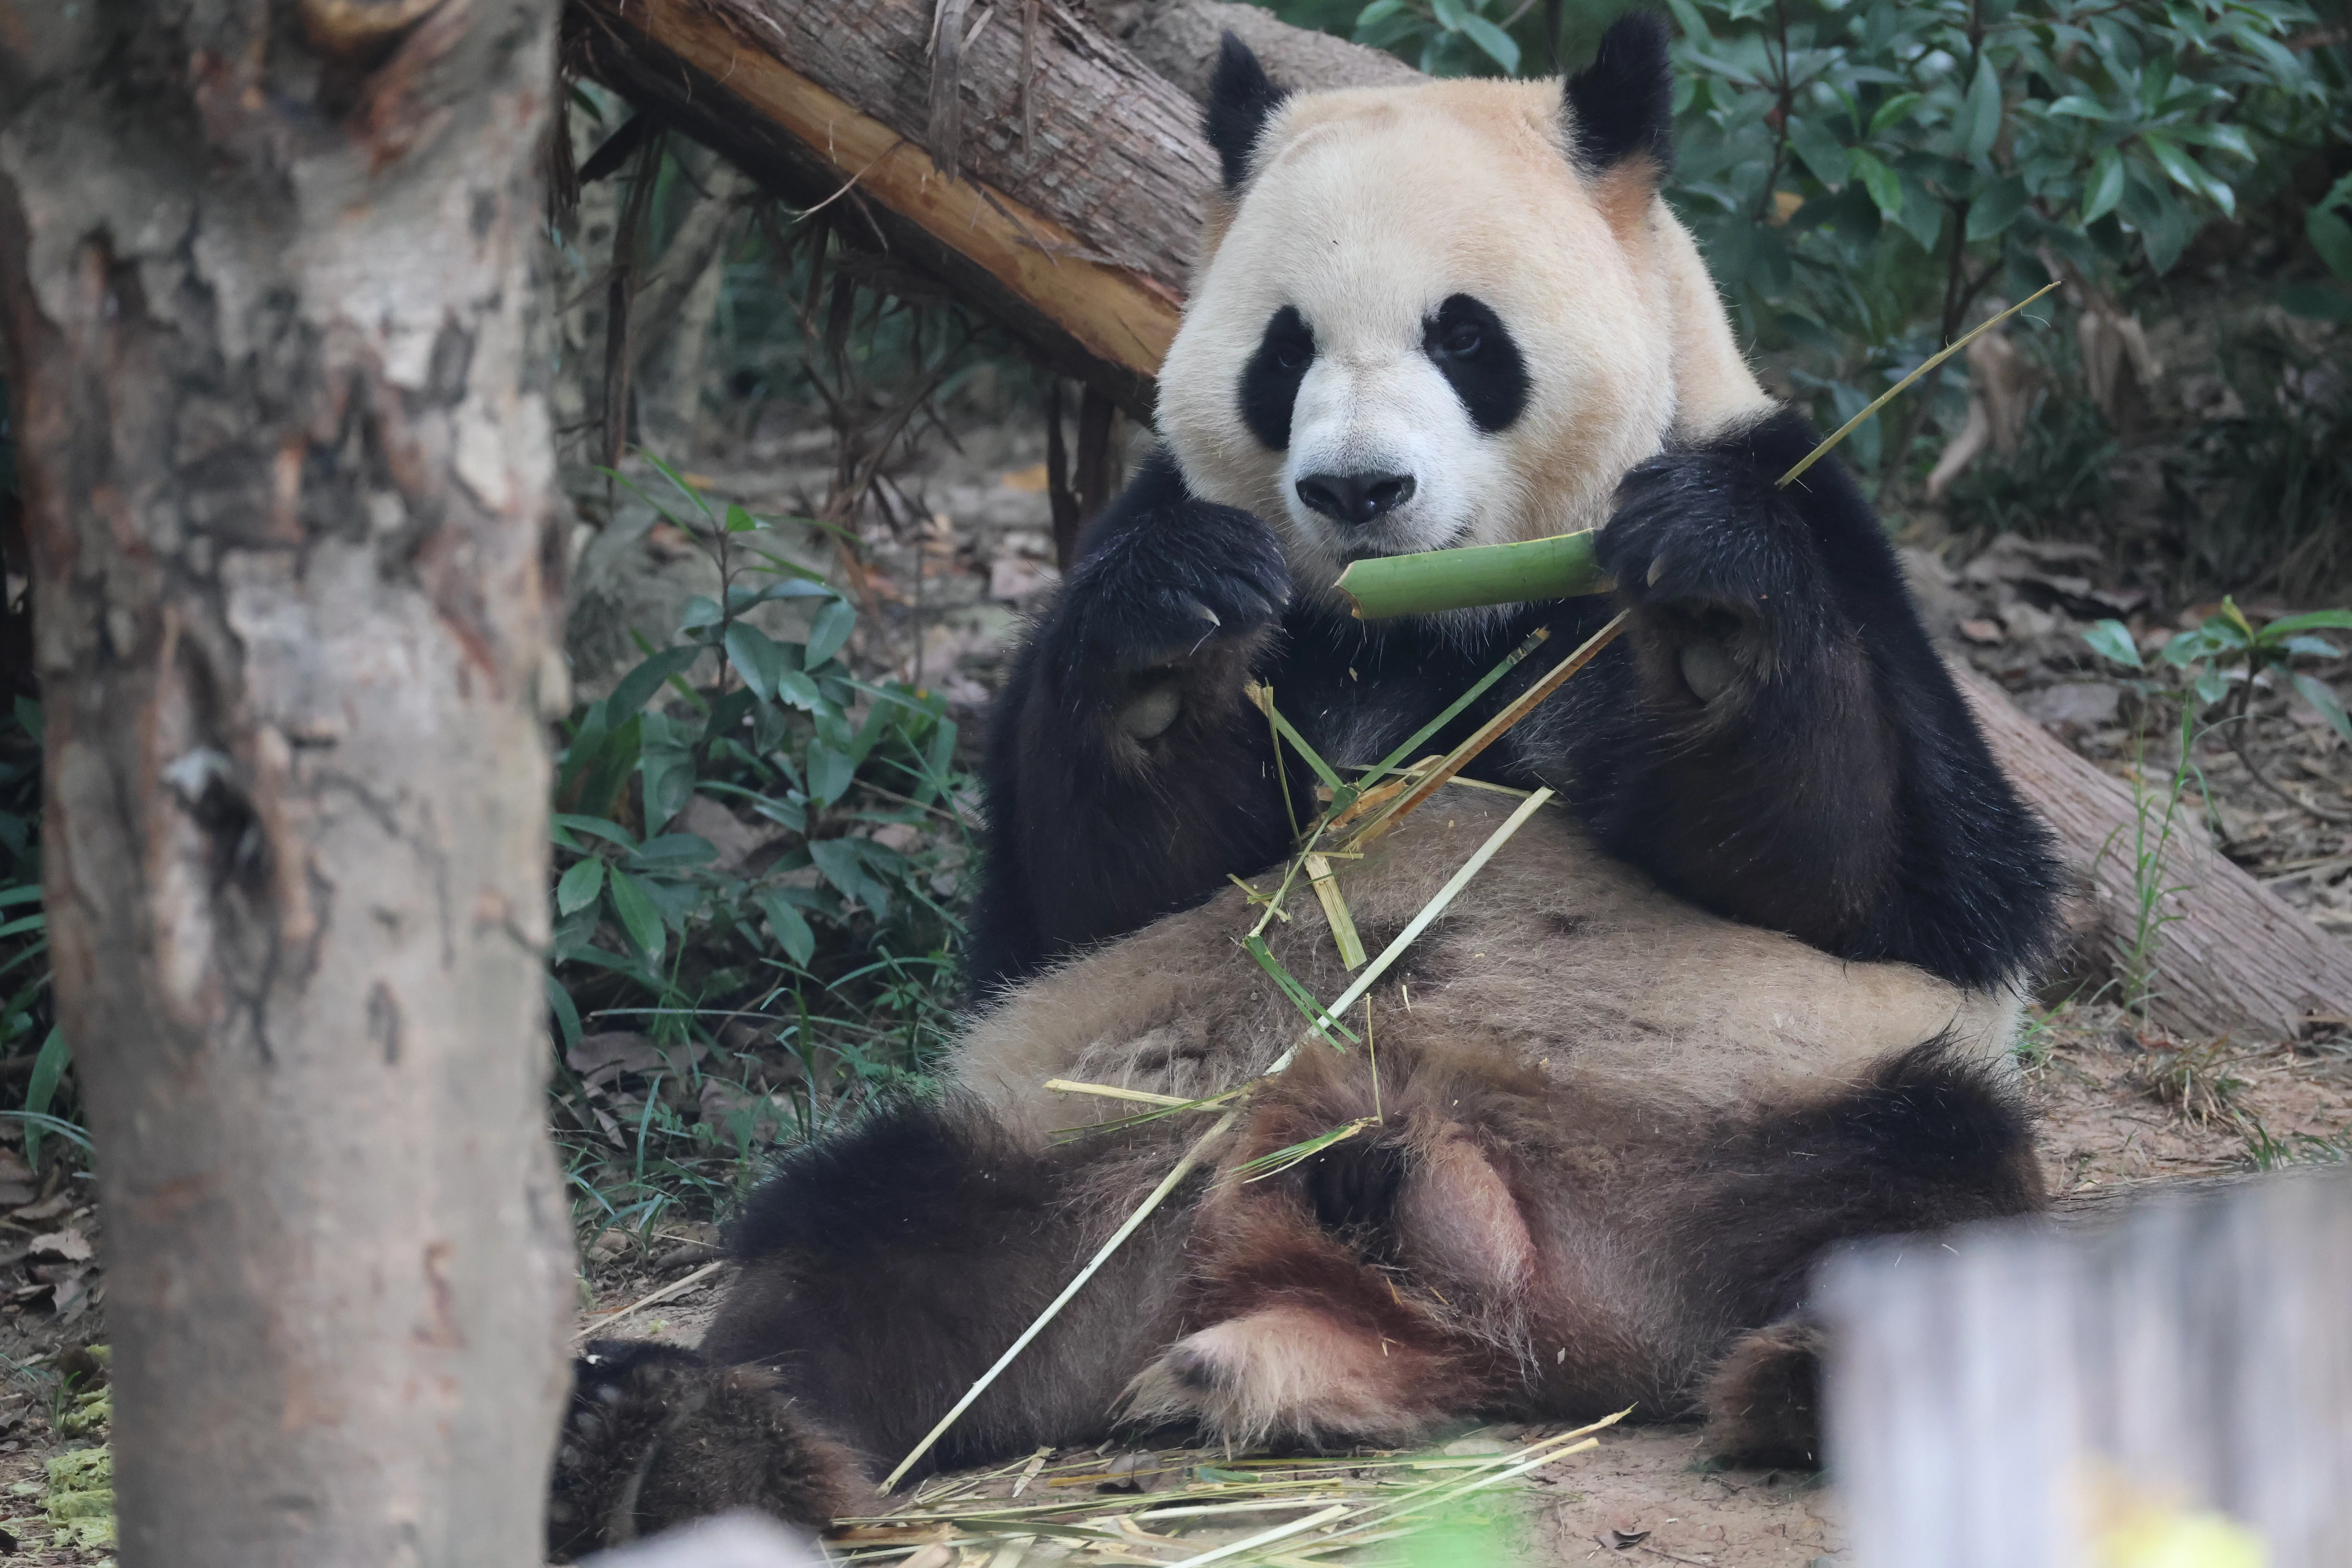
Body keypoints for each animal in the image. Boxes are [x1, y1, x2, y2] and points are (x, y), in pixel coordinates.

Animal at [546, 16, 2062, 1556]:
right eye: (1285, 351)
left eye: (1465, 335)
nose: (1354, 490)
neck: (1424, 613)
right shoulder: (1176, 539)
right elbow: (1076, 886)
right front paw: (1168, 654)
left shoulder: (1791, 507)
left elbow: (1899, 878)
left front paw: (1708, 612)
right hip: (1094, 1163)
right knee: (856, 1237)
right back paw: (676, 1435)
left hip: (1733, 1122)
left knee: (1921, 1196)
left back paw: (1821, 1378)